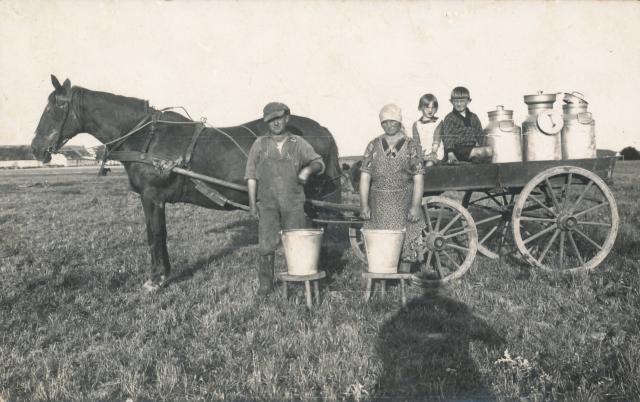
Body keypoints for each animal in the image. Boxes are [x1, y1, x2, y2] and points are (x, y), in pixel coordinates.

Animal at [30, 75, 342, 288]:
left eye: (54, 109)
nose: (35, 148)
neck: (146, 137)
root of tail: (323, 129)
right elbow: (159, 234)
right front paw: (164, 274)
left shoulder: (151, 197)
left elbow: (155, 234)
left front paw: (156, 279)